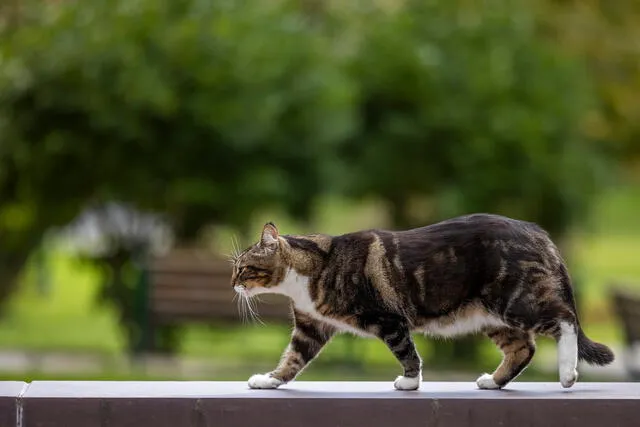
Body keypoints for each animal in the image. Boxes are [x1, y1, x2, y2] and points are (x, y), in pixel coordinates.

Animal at [230, 214, 616, 392]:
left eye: (244, 267)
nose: (233, 284)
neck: (312, 270)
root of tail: (538, 231)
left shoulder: (387, 319)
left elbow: (406, 351)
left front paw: (410, 382)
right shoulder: (311, 326)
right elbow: (292, 359)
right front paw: (269, 380)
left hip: (515, 300)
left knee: (564, 319)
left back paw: (567, 373)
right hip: (491, 315)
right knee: (524, 348)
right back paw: (494, 381)